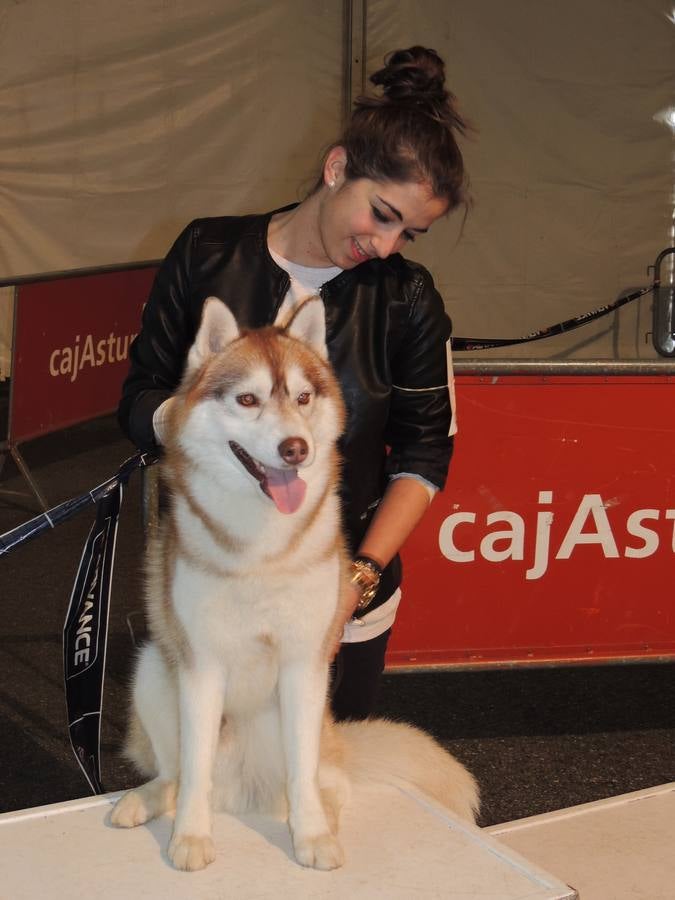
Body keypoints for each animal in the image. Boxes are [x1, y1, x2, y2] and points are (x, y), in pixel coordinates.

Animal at [112, 298, 480, 872]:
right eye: (247, 399)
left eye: (304, 398)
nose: (296, 448)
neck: (262, 547)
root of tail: (239, 791)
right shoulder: (201, 665)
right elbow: (193, 771)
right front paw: (192, 836)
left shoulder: (305, 662)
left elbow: (302, 775)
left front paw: (311, 836)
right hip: (153, 666)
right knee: (178, 773)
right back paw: (148, 799)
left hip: (302, 719)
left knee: (324, 780)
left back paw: (323, 811)